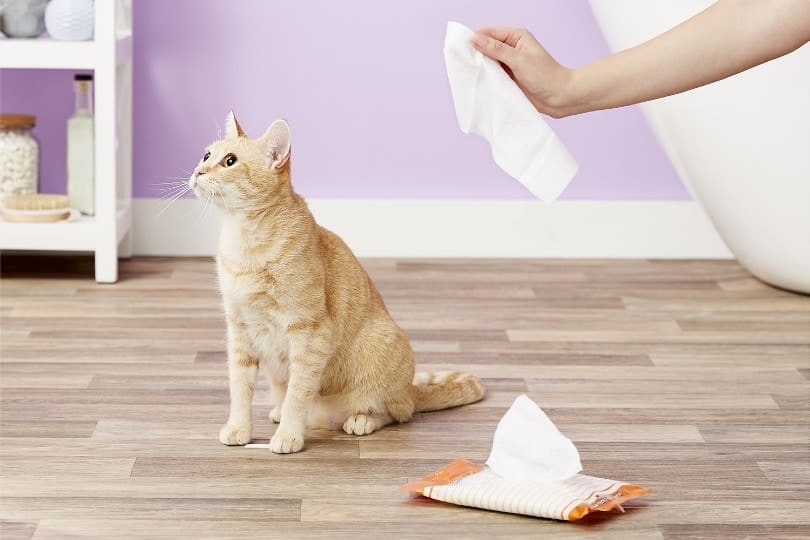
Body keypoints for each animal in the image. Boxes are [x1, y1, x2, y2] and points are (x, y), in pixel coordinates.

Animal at [188, 113, 480, 452]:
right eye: (207, 155)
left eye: (230, 161)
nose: (197, 171)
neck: (244, 240)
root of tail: (410, 388)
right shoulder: (239, 331)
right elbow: (240, 389)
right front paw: (239, 428)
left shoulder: (310, 333)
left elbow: (298, 393)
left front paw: (288, 435)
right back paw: (277, 411)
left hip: (384, 353)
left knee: (397, 412)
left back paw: (361, 420)